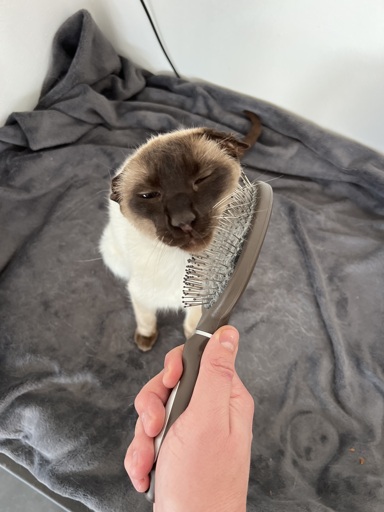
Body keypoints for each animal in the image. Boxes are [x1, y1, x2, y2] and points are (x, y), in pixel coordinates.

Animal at [99, 112, 262, 352]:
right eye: (149, 195)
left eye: (202, 178)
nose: (183, 220)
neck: (185, 264)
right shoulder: (139, 294)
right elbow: (146, 318)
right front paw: (145, 340)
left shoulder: (201, 299)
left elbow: (194, 322)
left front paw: (192, 335)